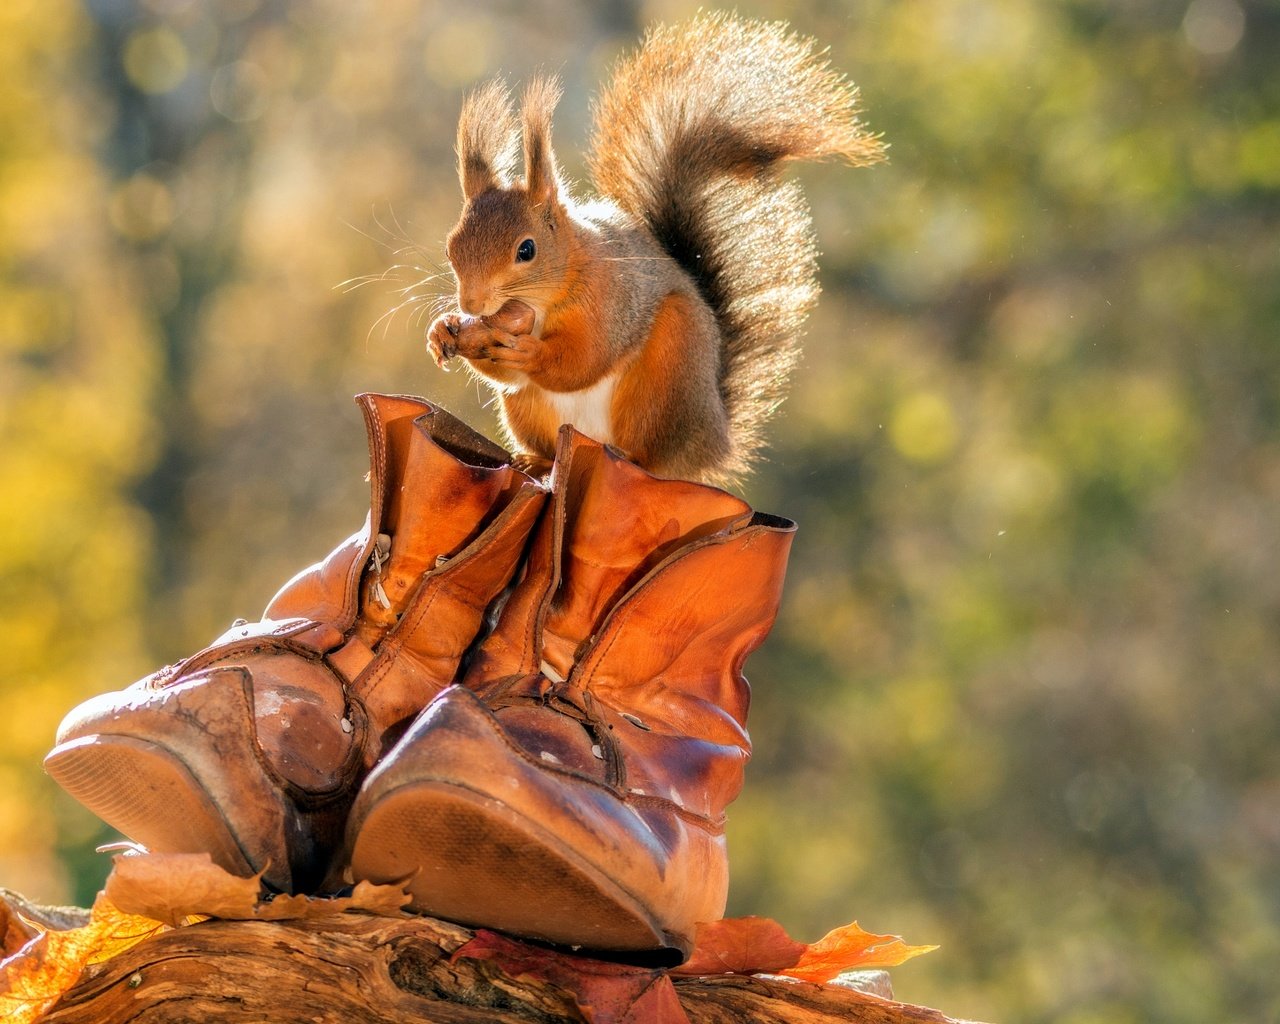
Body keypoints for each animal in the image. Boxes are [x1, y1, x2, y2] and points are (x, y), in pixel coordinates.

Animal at [424, 12, 885, 483]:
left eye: (526, 250)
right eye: (450, 249)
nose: (471, 303)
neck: (542, 300)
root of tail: (711, 442)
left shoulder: (612, 298)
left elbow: (584, 360)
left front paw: (530, 352)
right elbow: (507, 375)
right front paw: (443, 330)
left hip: (666, 379)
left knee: (650, 455)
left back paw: (631, 457)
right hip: (532, 412)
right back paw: (535, 458)